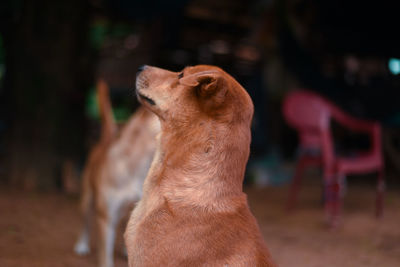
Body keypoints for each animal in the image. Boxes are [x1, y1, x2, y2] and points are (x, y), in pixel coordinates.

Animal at [74, 80, 159, 267]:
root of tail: (106, 139)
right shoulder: (106, 218)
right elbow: (105, 256)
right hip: (87, 200)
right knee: (85, 223)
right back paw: (82, 245)